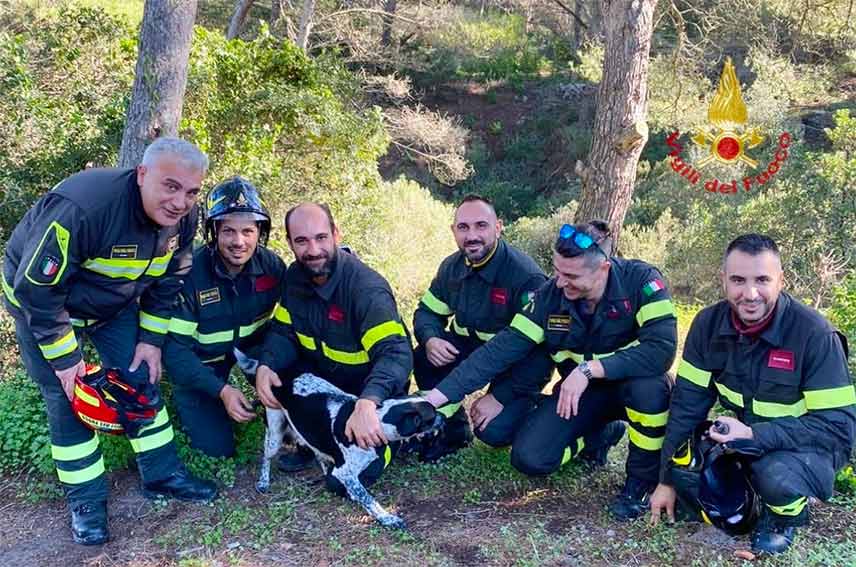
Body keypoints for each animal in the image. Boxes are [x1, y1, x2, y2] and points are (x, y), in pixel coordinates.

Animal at [237, 348, 444, 532]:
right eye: (432, 417)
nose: (443, 418)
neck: (378, 418)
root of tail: (282, 372)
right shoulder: (345, 472)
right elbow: (368, 498)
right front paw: (387, 518)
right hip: (275, 431)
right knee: (266, 457)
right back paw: (263, 482)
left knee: (318, 453)